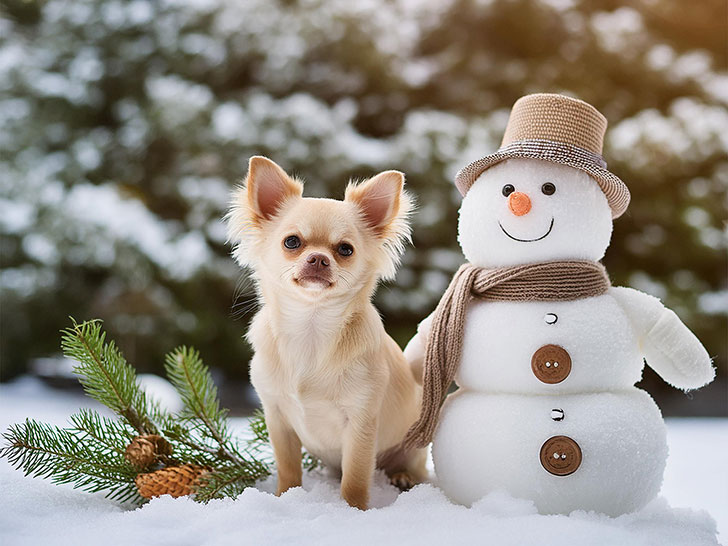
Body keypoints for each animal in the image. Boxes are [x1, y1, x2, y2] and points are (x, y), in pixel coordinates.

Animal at [228, 155, 426, 508]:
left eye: (345, 249)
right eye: (292, 242)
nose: (319, 258)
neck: (311, 326)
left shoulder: (361, 422)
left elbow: (357, 475)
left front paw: (352, 509)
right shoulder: (277, 417)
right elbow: (288, 466)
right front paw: (285, 497)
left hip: (411, 446)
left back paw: (403, 476)